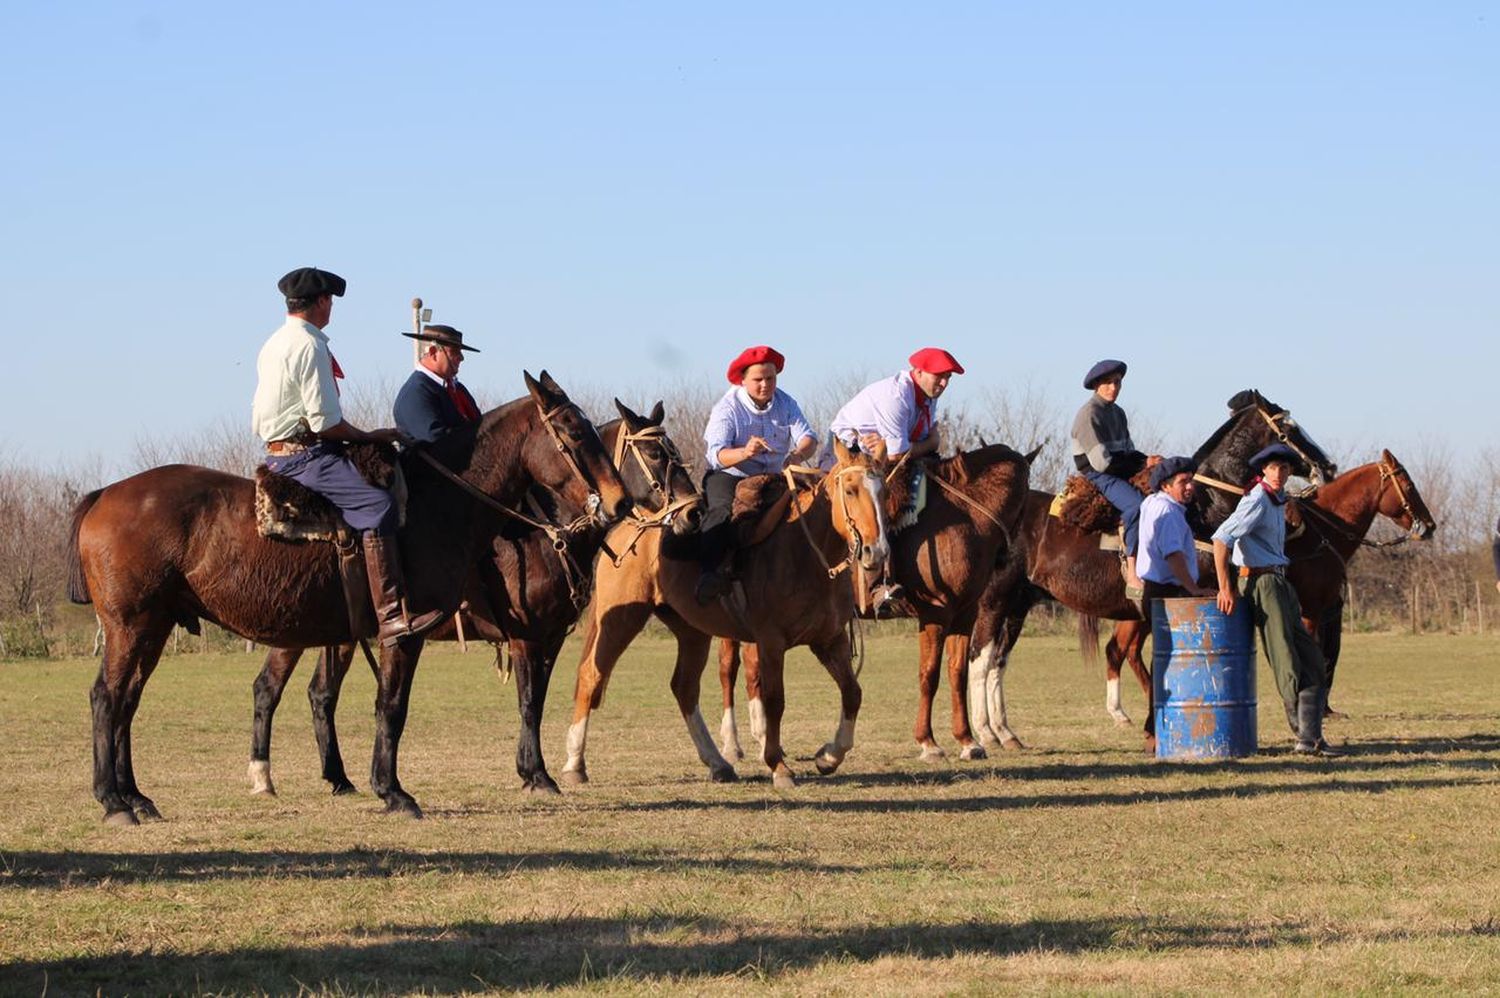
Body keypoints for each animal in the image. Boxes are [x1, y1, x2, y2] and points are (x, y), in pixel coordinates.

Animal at [63, 369, 627, 822]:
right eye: (571, 432)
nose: (619, 502)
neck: (438, 505)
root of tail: (104, 495)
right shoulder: (417, 635)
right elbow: (395, 706)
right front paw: (395, 792)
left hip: (157, 628)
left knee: (129, 701)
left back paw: (137, 797)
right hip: (132, 626)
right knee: (107, 698)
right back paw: (113, 801)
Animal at [246, 396, 702, 792]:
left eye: (673, 450)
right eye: (655, 453)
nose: (694, 512)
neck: (546, 532)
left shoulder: (551, 637)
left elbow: (537, 700)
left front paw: (529, 770)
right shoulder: (525, 636)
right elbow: (529, 701)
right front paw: (537, 774)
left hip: (337, 636)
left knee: (320, 695)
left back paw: (338, 778)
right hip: (296, 631)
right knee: (268, 688)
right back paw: (264, 776)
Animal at [564, 441, 888, 792]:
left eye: (883, 492)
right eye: (851, 489)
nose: (876, 551)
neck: (804, 552)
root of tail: (629, 528)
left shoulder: (830, 639)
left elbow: (852, 692)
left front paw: (828, 756)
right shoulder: (771, 642)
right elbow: (774, 699)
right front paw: (779, 766)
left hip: (691, 631)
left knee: (684, 687)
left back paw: (718, 762)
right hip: (620, 619)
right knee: (591, 676)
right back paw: (574, 764)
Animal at [714, 444, 1032, 762]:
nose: (1008, 560)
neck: (964, 516)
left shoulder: (965, 615)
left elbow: (958, 673)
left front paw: (967, 740)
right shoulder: (936, 613)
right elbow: (929, 674)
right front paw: (928, 742)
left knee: (752, 668)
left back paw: (763, 738)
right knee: (729, 669)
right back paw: (733, 743)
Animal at [960, 390, 1338, 747]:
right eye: (1289, 427)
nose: (1329, 467)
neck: (1200, 508)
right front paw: (1152, 732)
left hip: (1017, 606)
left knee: (998, 663)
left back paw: (1006, 733)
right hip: (995, 602)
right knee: (980, 659)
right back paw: (985, 733)